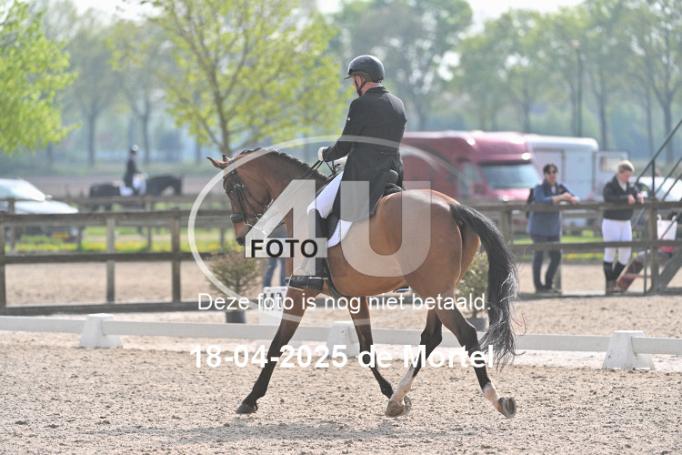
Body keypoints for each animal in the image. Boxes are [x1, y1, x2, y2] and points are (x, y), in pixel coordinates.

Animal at [208, 149, 518, 418]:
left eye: (231, 188)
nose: (240, 236)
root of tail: (453, 206)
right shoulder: (354, 296)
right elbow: (366, 348)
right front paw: (393, 395)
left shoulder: (300, 289)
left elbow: (277, 343)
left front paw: (250, 399)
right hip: (438, 289)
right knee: (431, 336)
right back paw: (396, 399)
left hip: (434, 291)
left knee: (466, 333)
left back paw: (497, 399)